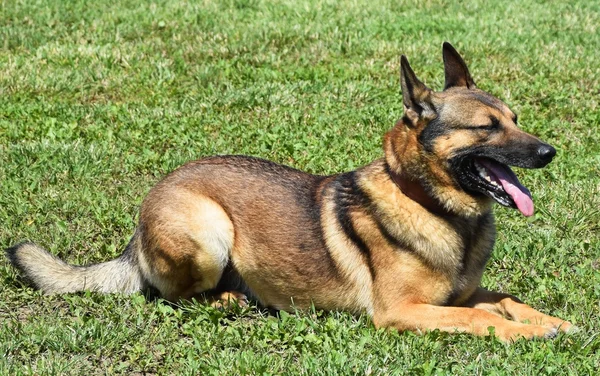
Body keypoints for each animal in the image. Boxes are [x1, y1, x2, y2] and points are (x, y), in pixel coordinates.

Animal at [7, 43, 576, 340]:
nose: (550, 152)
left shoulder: (457, 294)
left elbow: (504, 298)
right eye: (486, 128)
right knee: (170, 296)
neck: (432, 204)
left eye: (516, 119)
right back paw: (231, 299)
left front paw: (550, 320)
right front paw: (525, 332)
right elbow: (481, 314)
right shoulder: (400, 312)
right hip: (207, 231)